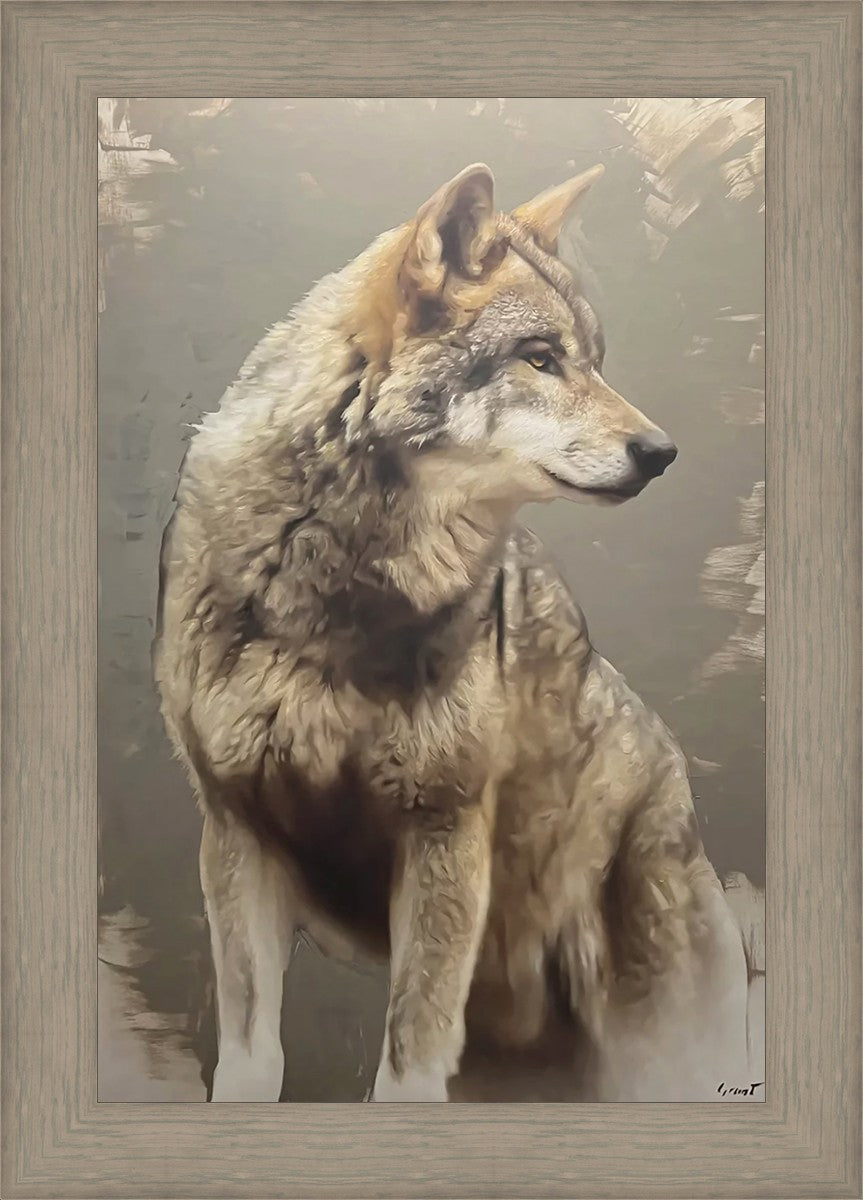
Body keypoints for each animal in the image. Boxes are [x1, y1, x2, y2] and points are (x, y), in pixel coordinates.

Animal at [154, 162, 753, 1102]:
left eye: (593, 360)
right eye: (540, 358)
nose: (661, 452)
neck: (332, 591)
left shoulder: (443, 834)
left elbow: (407, 1066)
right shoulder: (237, 832)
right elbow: (254, 1058)